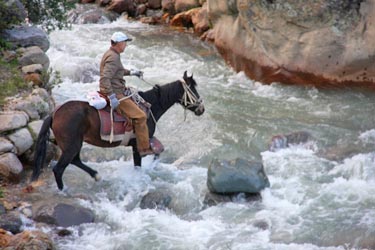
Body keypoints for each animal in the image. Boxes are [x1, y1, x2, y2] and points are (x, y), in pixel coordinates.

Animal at [31, 72, 206, 189]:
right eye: (193, 89)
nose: (202, 109)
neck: (151, 105)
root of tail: (54, 113)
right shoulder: (139, 144)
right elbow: (139, 164)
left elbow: (156, 154)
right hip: (72, 145)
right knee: (59, 169)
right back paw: (64, 191)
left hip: (73, 144)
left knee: (75, 160)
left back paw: (96, 175)